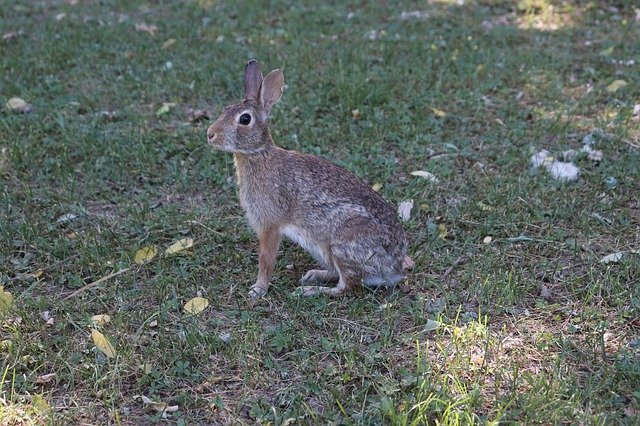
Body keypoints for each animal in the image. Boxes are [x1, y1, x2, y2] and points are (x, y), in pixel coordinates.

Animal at [208, 59, 408, 300]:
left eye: (244, 119)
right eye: (225, 110)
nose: (210, 134)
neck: (258, 154)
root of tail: (394, 269)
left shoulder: (270, 224)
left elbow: (265, 260)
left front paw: (258, 290)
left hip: (342, 244)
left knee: (348, 286)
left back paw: (309, 291)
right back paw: (313, 276)